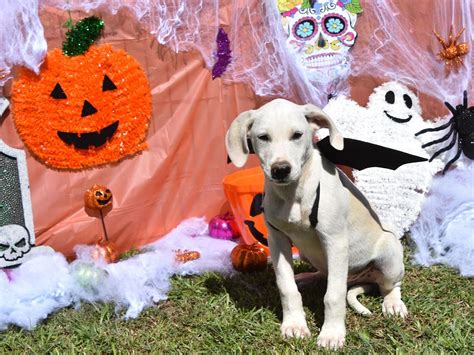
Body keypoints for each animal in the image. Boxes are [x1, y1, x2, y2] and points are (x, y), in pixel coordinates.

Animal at [226, 98, 408, 350]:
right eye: (263, 137)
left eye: (297, 135)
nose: (280, 170)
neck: (293, 193)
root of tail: (360, 278)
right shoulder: (277, 240)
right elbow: (286, 287)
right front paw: (294, 325)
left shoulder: (335, 240)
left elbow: (333, 295)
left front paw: (331, 334)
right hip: (308, 254)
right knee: (324, 273)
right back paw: (305, 277)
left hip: (388, 254)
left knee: (390, 286)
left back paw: (393, 303)